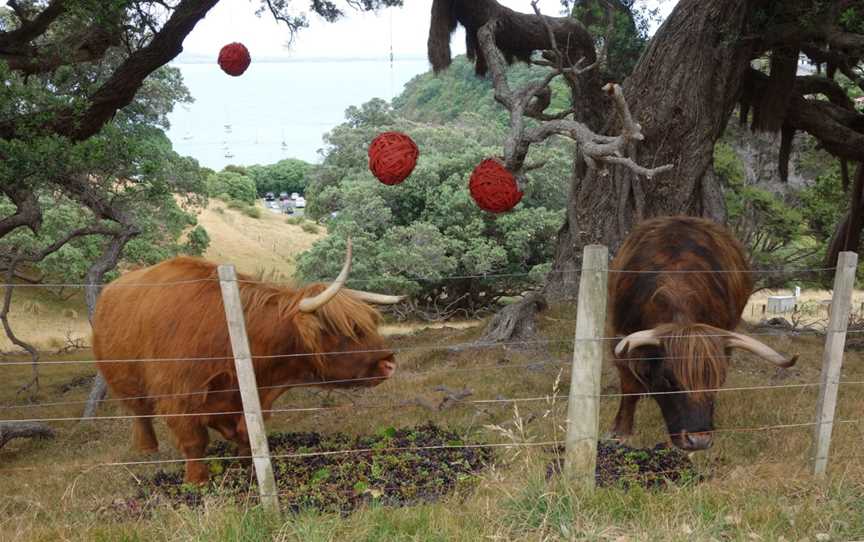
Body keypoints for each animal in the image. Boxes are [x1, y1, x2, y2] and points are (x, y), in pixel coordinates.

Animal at [93, 242, 404, 484]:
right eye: (348, 330)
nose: (389, 363)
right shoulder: (179, 397)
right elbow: (194, 441)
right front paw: (197, 481)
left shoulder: (249, 398)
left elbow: (246, 433)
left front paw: (246, 465)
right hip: (125, 380)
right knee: (140, 413)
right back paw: (147, 449)